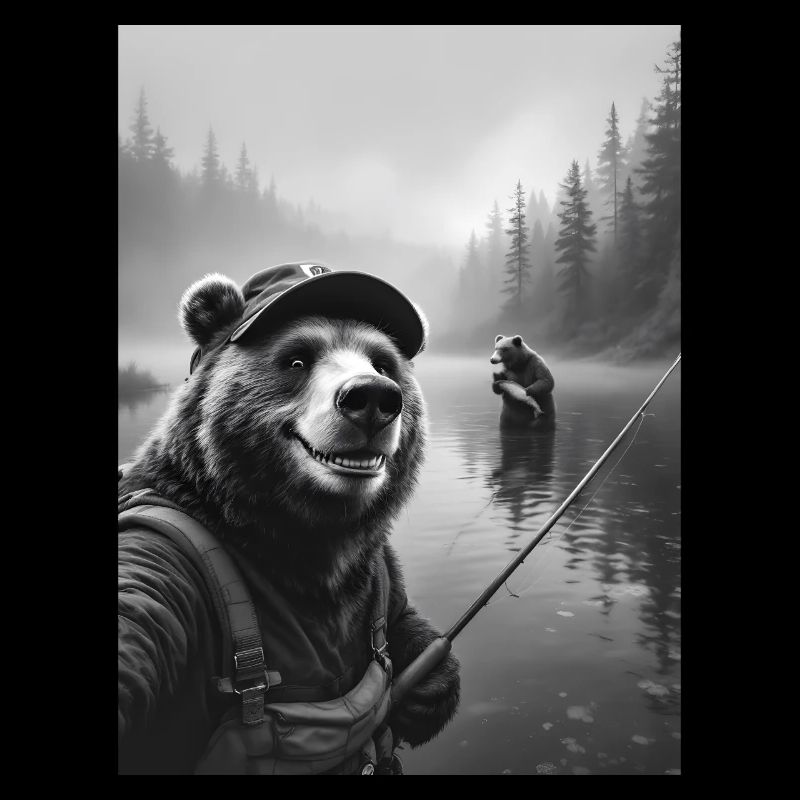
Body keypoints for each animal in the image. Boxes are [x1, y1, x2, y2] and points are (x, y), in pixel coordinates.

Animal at [118, 266, 460, 774]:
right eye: (297, 359)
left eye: (383, 363)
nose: (373, 396)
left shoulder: (372, 562)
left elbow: (399, 614)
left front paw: (431, 687)